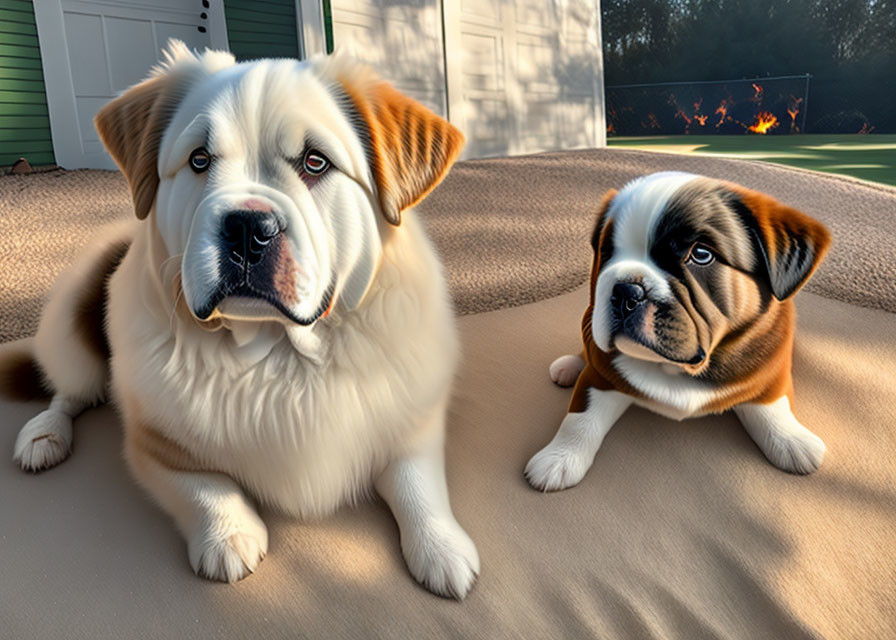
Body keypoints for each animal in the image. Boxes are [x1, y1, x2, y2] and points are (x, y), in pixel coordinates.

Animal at [3, 42, 480, 596]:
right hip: (71, 318)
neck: (278, 352)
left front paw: (441, 545)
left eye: (315, 162)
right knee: (70, 391)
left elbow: (415, 477)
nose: (249, 229)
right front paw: (228, 534)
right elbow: (200, 483)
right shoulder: (151, 441)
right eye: (199, 159)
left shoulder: (411, 418)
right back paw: (44, 435)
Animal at [524, 170, 832, 490]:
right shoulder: (600, 374)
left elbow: (772, 402)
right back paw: (569, 366)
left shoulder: (769, 371)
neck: (676, 368)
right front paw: (560, 458)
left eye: (701, 255)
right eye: (607, 252)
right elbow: (579, 417)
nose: (625, 291)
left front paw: (791, 439)